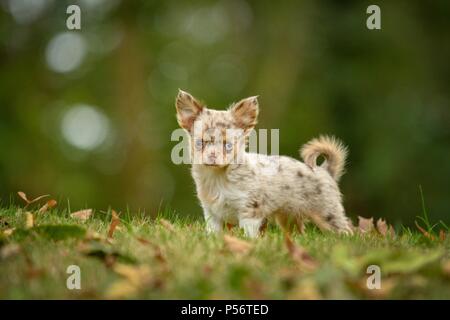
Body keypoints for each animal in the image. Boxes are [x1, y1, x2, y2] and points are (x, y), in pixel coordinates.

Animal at [174, 90, 354, 238]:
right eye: (200, 143)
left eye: (228, 146)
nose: (212, 156)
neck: (218, 177)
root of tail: (325, 171)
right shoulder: (212, 213)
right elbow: (213, 233)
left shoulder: (250, 211)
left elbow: (249, 234)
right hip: (288, 217)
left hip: (327, 213)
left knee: (346, 229)